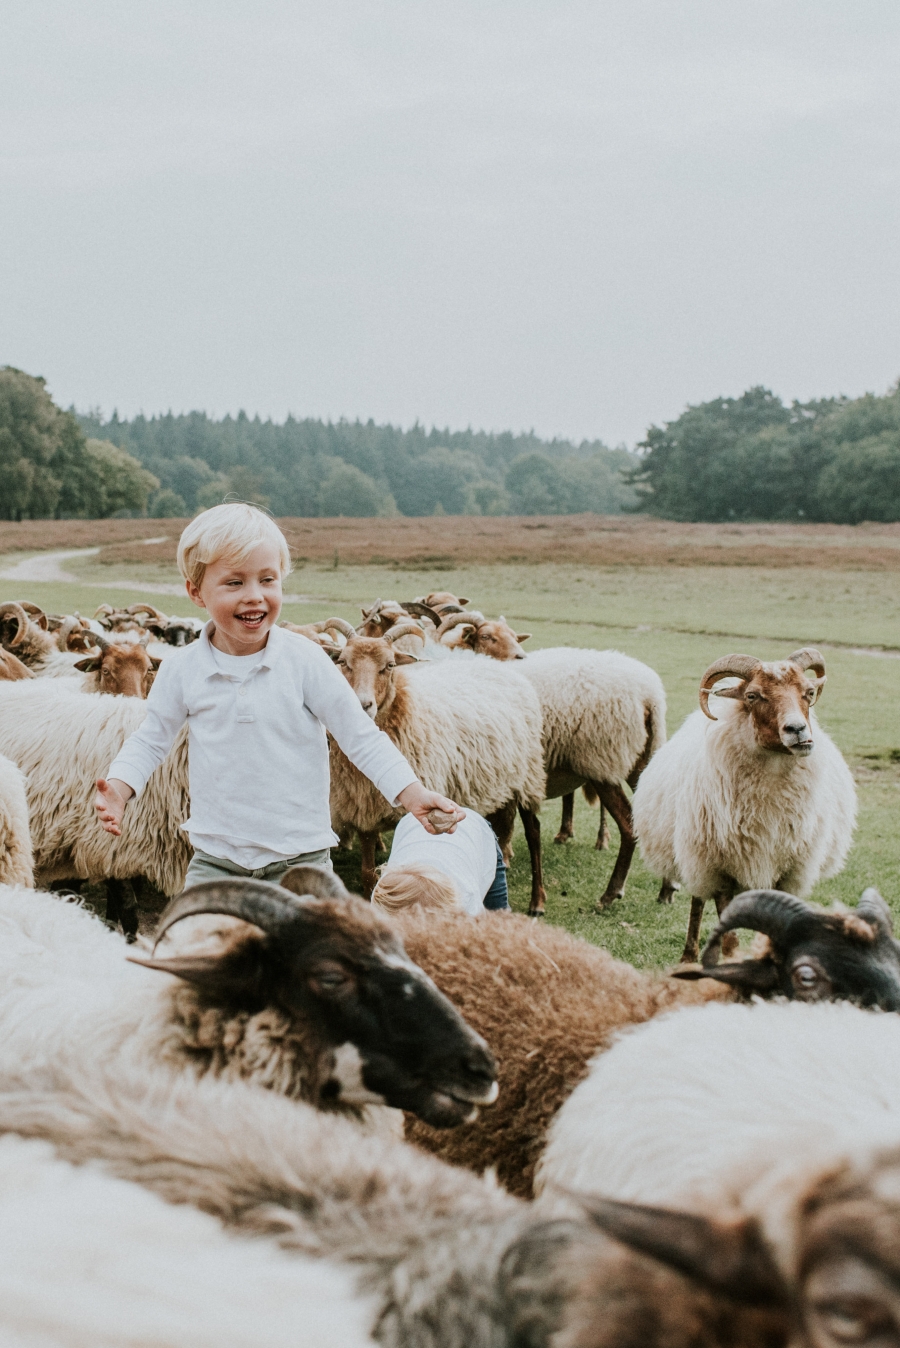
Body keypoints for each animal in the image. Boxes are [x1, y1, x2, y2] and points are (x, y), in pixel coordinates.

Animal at [630, 649, 856, 959]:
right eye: (752, 695)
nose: (797, 730)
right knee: (697, 901)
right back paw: (691, 956)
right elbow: (730, 940)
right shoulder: (722, 872)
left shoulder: (788, 873)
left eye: (809, 692)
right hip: (697, 858)